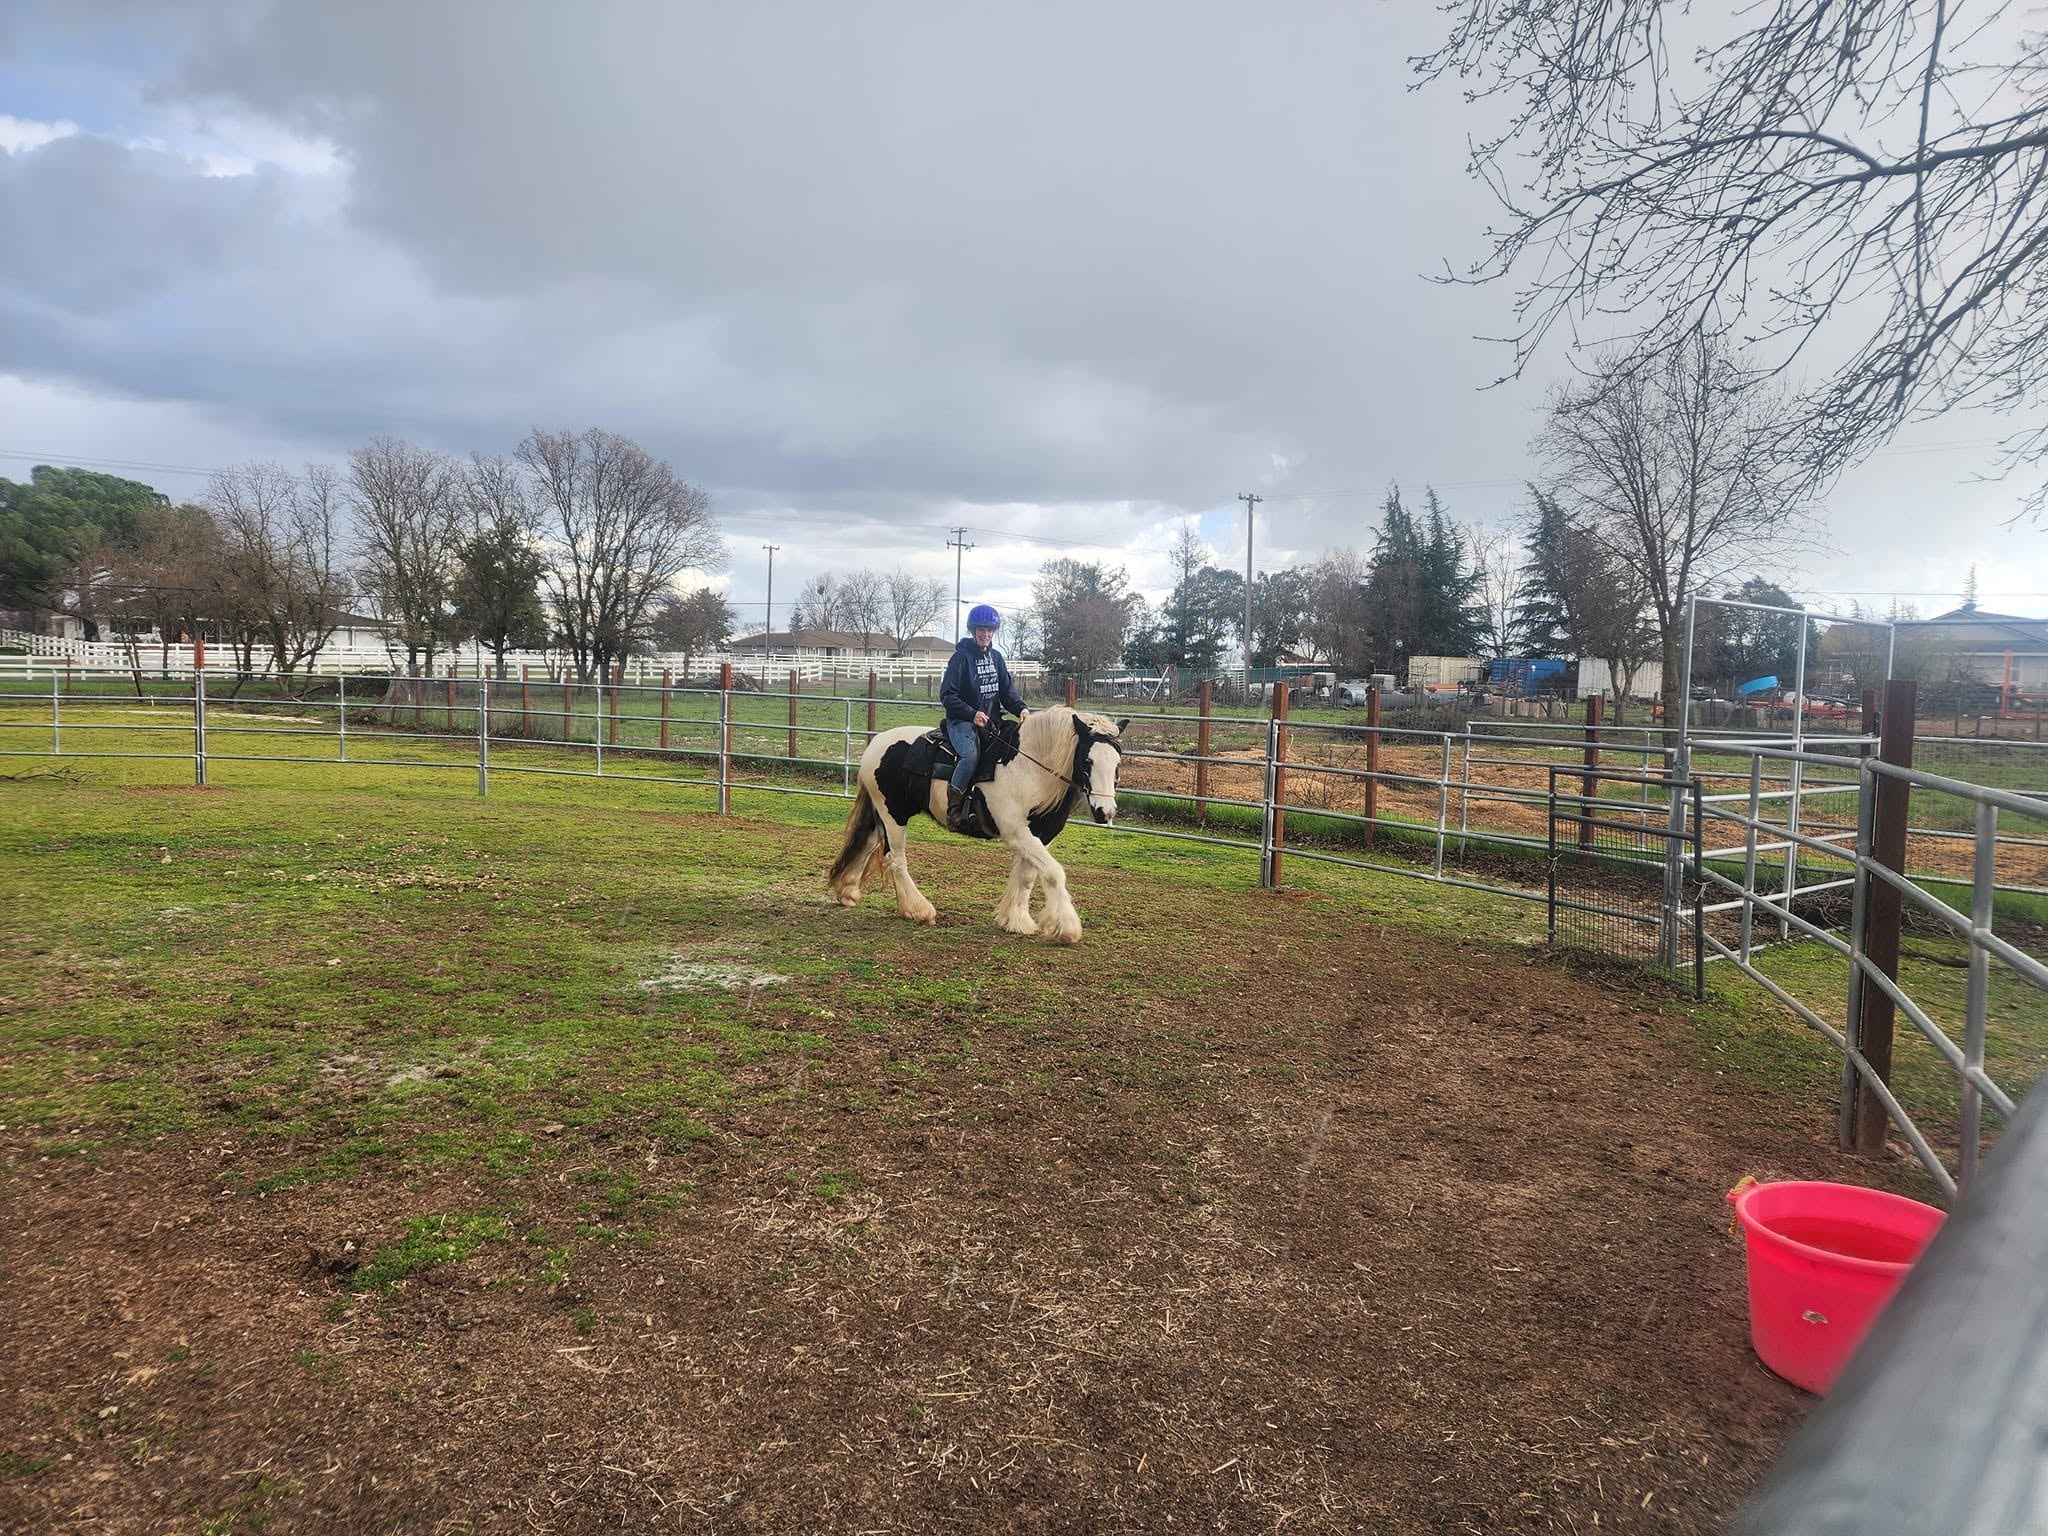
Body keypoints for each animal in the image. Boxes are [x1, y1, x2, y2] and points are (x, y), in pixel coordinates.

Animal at [827, 706, 1128, 943]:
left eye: (1117, 762)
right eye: (1088, 760)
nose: (1105, 812)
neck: (1027, 769)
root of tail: (875, 744)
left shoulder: (1041, 835)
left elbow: (1027, 876)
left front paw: (1014, 920)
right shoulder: (1016, 833)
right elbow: (1055, 873)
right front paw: (1066, 928)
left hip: (883, 815)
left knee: (869, 843)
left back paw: (848, 891)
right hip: (894, 816)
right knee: (895, 860)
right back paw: (918, 910)